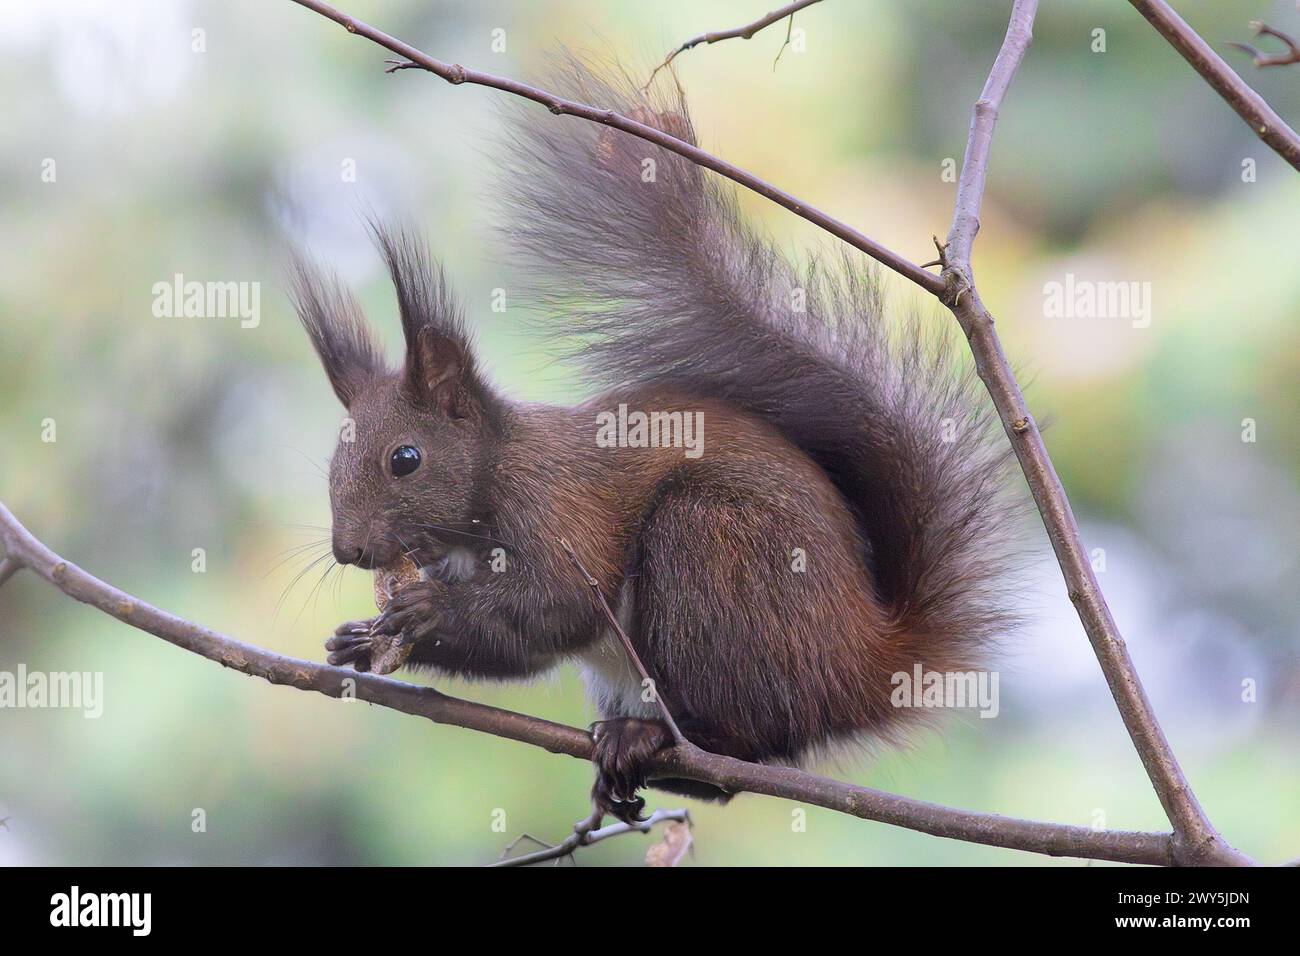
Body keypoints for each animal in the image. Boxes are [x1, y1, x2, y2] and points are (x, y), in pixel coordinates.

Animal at [289, 61, 1019, 822]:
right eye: (334, 458)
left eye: (405, 459)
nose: (349, 551)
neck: (493, 473)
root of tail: (864, 665)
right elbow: (518, 650)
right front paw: (357, 639)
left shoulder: (558, 508)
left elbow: (555, 608)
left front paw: (428, 610)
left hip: (715, 549)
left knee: (748, 741)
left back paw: (654, 739)